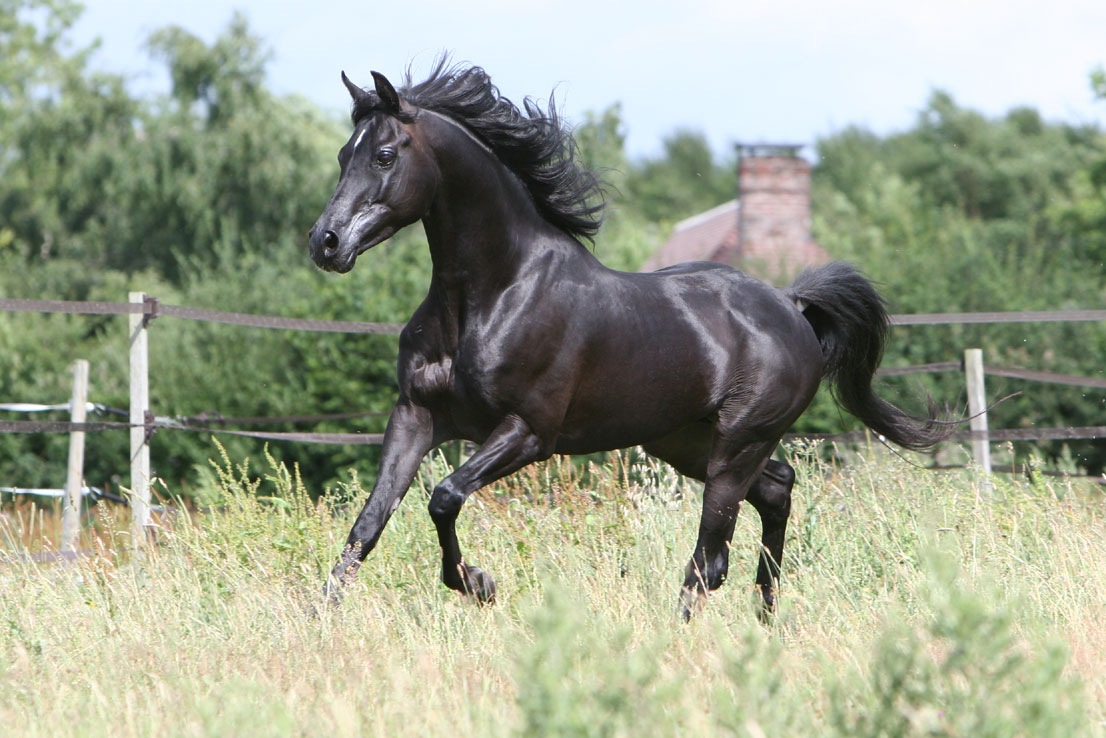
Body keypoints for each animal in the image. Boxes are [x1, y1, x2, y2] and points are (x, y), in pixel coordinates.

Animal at [307, 61, 946, 619]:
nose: (325, 242)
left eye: (384, 155)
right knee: (777, 490)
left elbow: (444, 497)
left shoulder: (528, 432)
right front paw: (322, 620)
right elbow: (366, 528)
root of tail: (789, 306)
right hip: (687, 441)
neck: (491, 296)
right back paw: (766, 621)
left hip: (737, 445)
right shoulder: (416, 417)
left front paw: (481, 585)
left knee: (711, 559)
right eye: (341, 155)